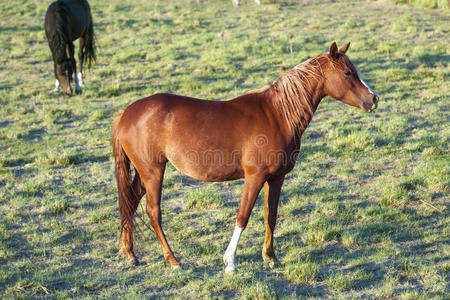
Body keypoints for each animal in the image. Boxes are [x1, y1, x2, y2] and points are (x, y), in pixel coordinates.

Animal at [113, 42, 380, 274]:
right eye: (347, 72)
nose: (374, 99)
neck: (278, 114)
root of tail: (126, 113)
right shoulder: (255, 177)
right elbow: (243, 216)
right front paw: (230, 262)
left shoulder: (276, 178)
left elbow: (270, 216)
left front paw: (270, 257)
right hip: (153, 172)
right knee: (153, 211)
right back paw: (172, 259)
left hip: (145, 173)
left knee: (131, 200)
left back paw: (130, 253)